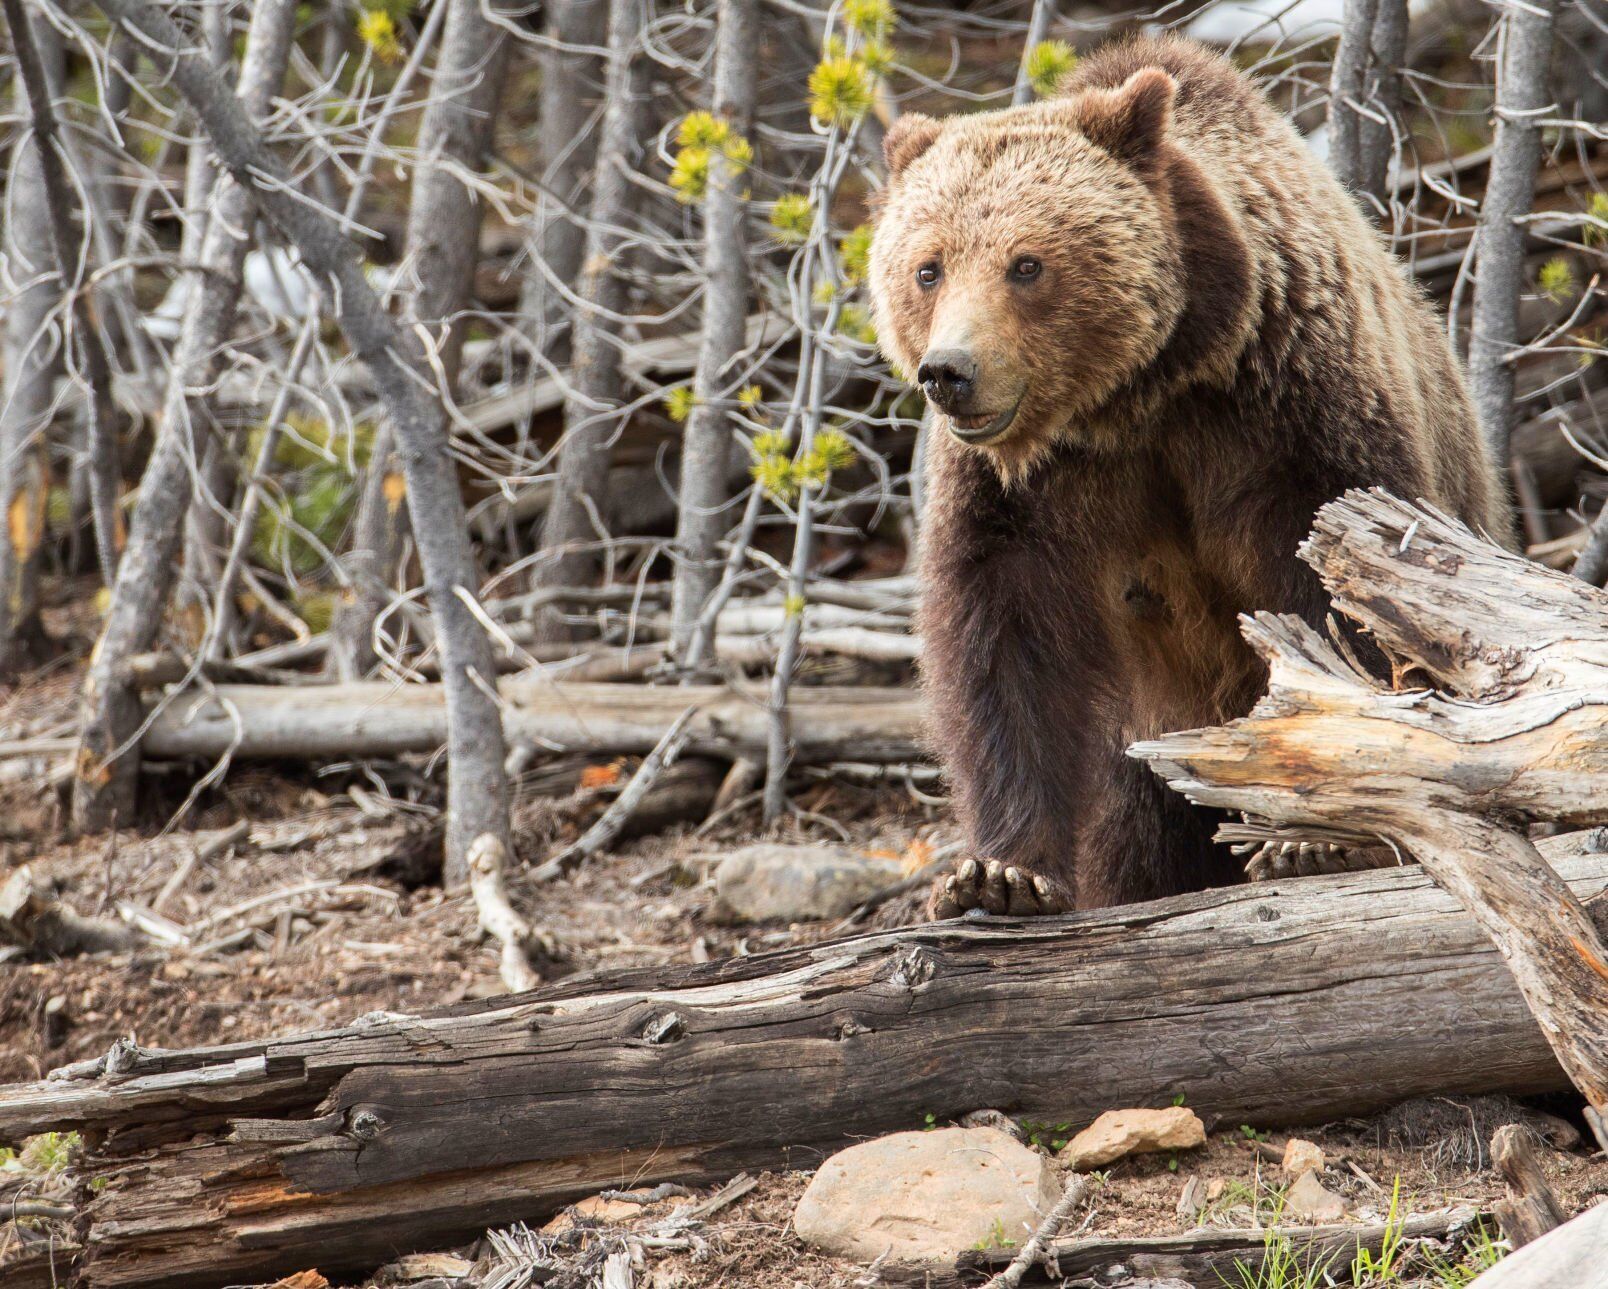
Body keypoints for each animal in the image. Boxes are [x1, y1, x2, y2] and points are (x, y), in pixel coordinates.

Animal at [868, 30, 1505, 912]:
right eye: (927, 267)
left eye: (1026, 264)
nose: (950, 372)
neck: (1138, 393)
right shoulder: (1022, 489)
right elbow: (1006, 643)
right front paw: (1001, 873)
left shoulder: (1287, 413)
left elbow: (1342, 601)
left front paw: (1314, 839)